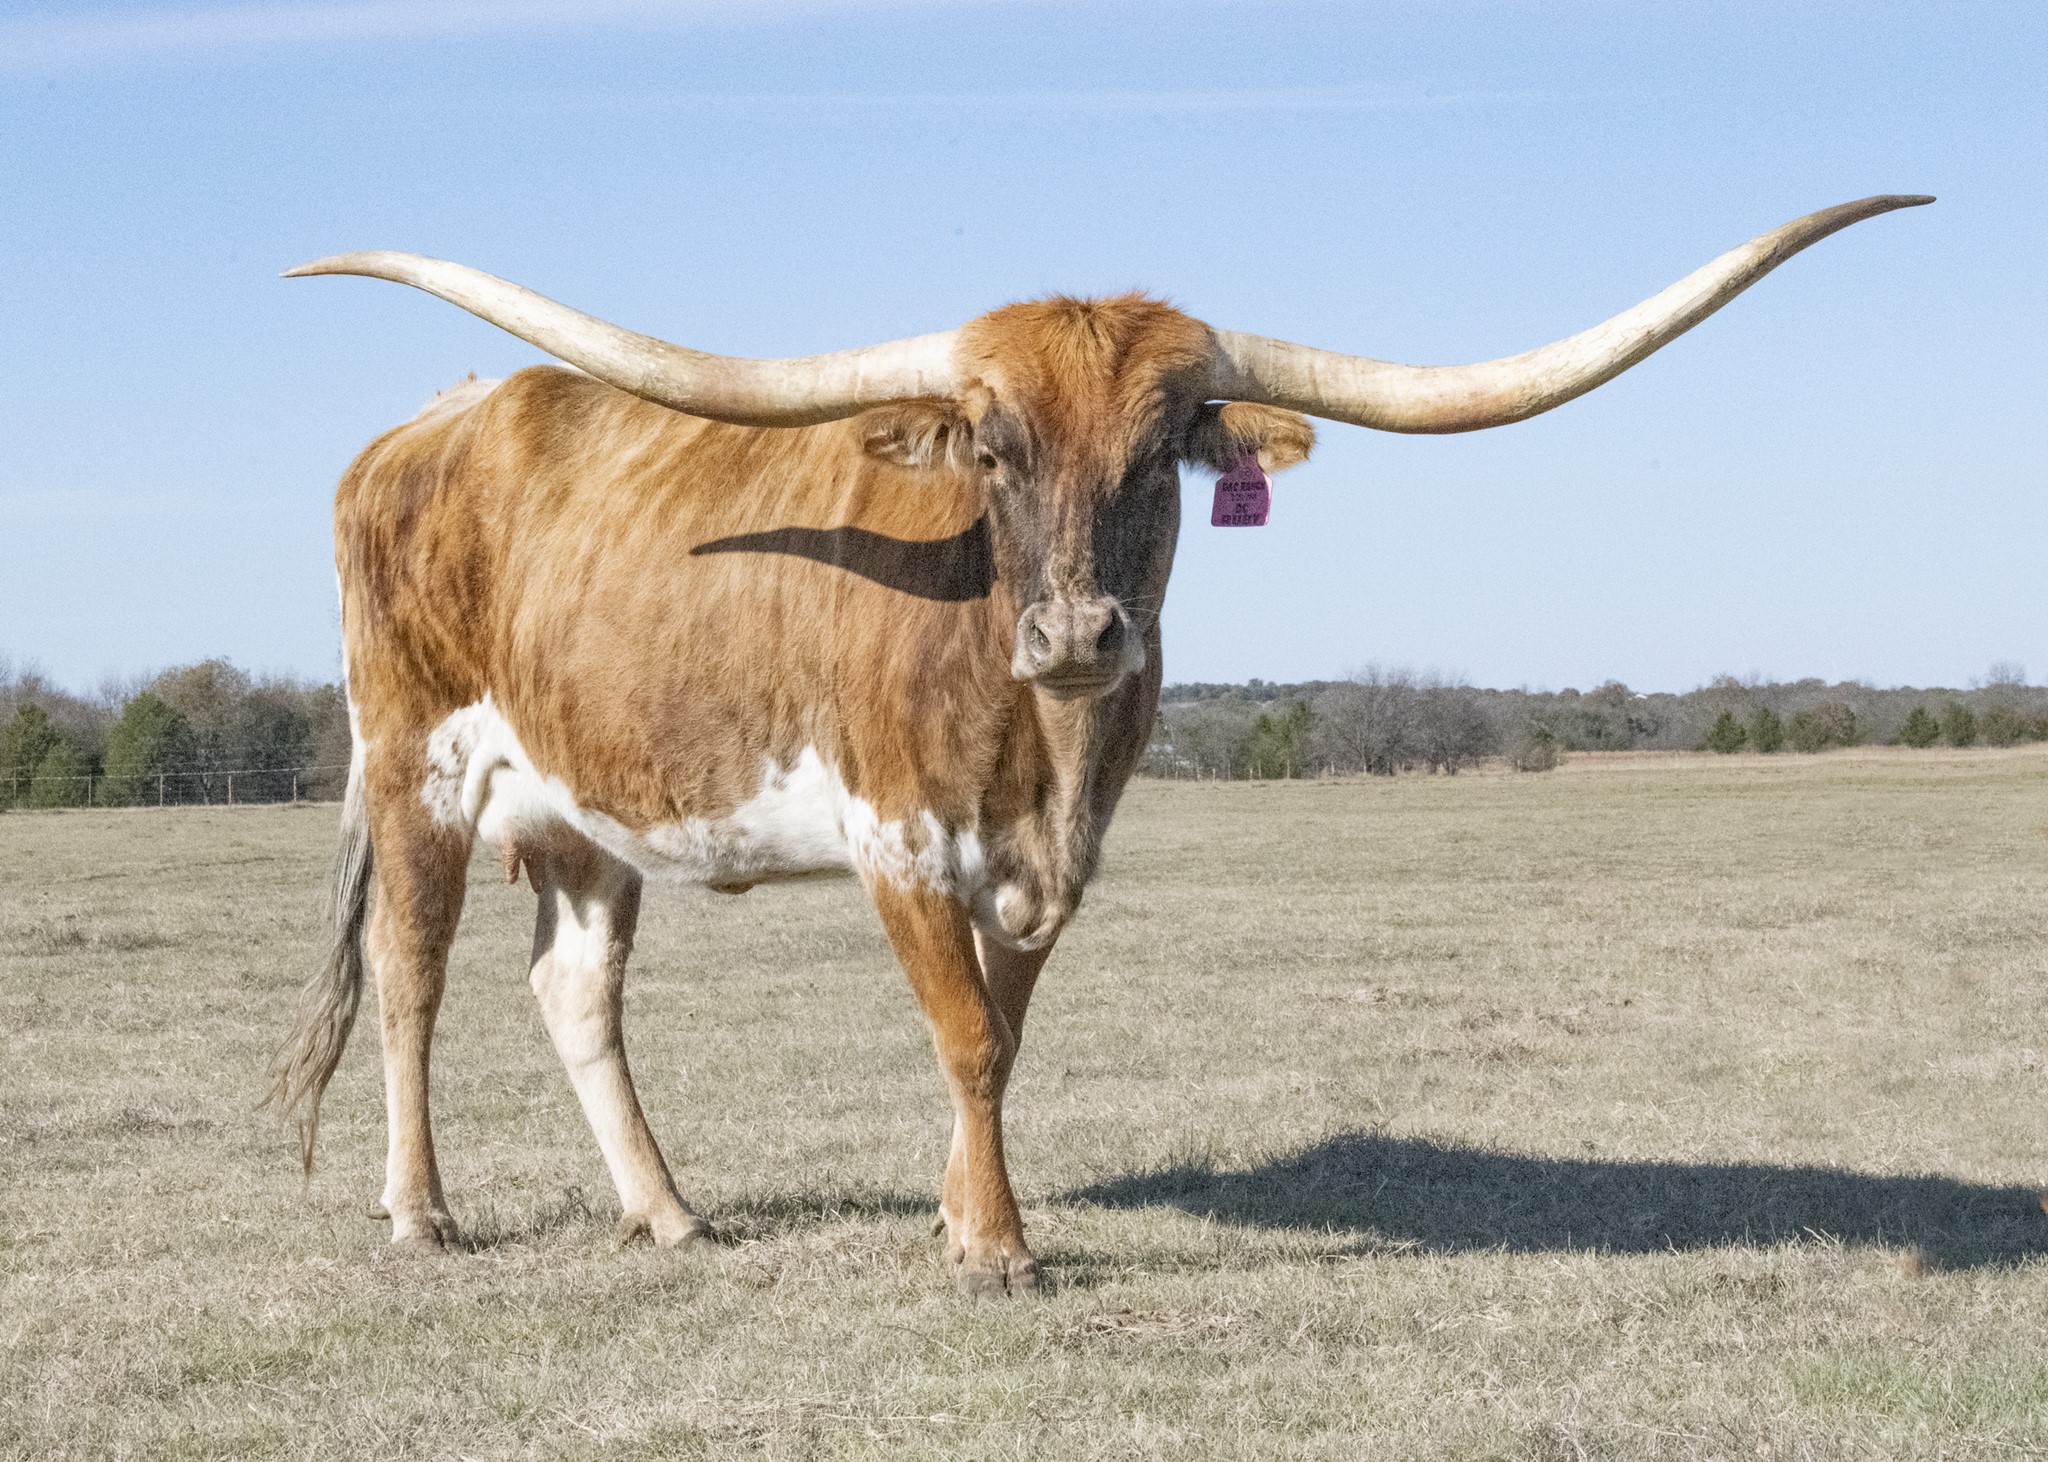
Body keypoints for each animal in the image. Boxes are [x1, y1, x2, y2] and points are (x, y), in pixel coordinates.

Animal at [268, 195, 1927, 1295]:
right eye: (993, 448)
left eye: (1168, 447)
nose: (1076, 634)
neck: (1043, 738)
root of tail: (432, 420)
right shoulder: (898, 840)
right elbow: (962, 1037)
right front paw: (998, 1247)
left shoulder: (1055, 863)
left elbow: (1003, 1036)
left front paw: (957, 1216)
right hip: (413, 763)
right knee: (411, 980)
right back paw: (421, 1212)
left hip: (585, 814)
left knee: (573, 992)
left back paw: (668, 1212)